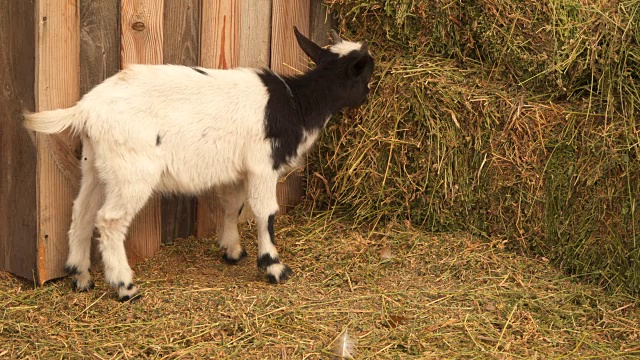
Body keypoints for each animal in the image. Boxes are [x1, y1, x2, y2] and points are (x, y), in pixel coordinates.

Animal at [23, 27, 376, 300]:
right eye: (366, 75)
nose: (368, 97)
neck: (296, 103)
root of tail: (86, 109)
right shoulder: (263, 165)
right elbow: (266, 213)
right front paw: (274, 266)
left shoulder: (238, 170)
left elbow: (232, 205)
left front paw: (232, 250)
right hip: (132, 173)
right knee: (109, 221)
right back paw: (125, 287)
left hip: (96, 166)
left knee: (81, 212)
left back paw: (81, 277)